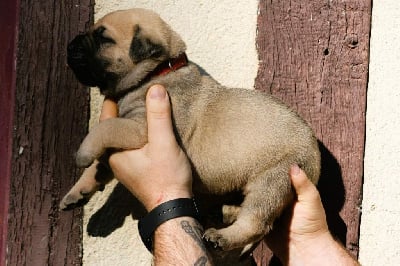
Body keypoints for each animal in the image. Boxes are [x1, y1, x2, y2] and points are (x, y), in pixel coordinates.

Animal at [61, 8, 320, 251]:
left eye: (103, 38)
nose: (70, 45)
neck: (157, 72)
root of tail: (316, 159)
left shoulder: (140, 128)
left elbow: (104, 127)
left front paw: (83, 152)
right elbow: (101, 163)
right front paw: (79, 190)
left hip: (273, 180)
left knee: (256, 223)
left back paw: (222, 237)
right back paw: (225, 211)